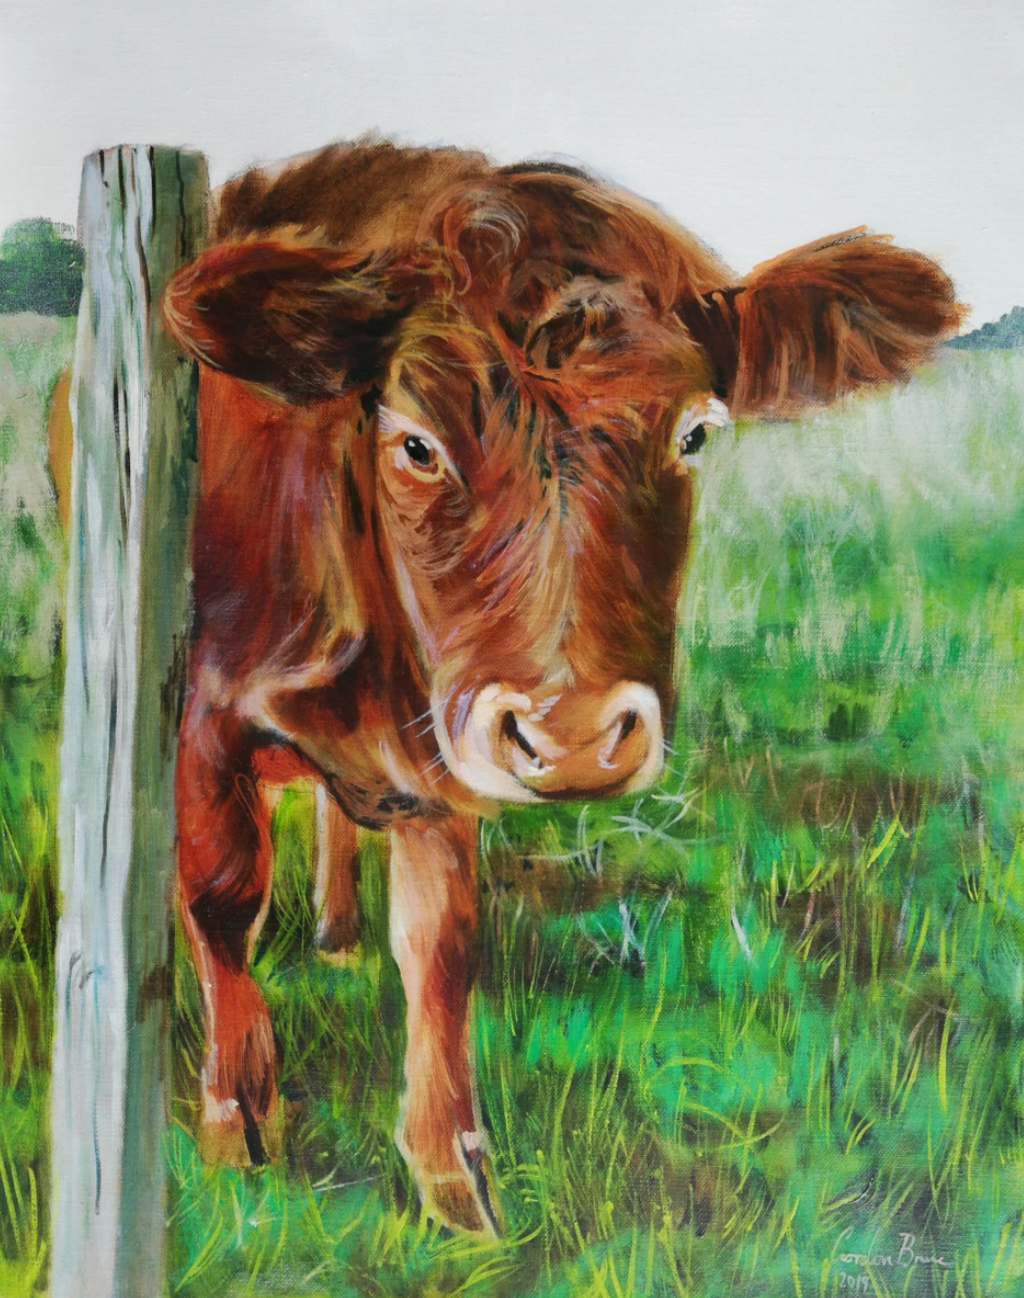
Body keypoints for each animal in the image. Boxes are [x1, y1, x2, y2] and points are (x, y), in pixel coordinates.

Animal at [162, 138, 960, 1234]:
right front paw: (235, 1125)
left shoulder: (444, 751)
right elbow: (221, 897)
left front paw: (451, 1177)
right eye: (415, 440)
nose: (574, 735)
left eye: (694, 434)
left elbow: (440, 940)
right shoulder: (203, 712)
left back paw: (335, 932)